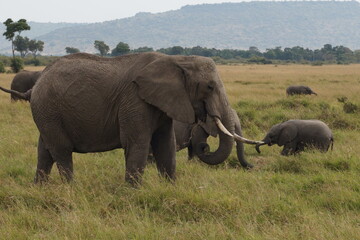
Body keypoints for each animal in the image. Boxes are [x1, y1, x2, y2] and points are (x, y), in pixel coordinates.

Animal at [0, 53, 262, 186]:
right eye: (209, 87)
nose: (205, 146)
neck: (177, 59)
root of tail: (34, 87)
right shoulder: (134, 99)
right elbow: (137, 143)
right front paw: (133, 192)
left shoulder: (162, 102)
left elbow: (165, 145)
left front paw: (170, 189)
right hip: (48, 108)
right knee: (61, 149)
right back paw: (70, 189)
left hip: (47, 112)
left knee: (45, 149)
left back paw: (40, 188)